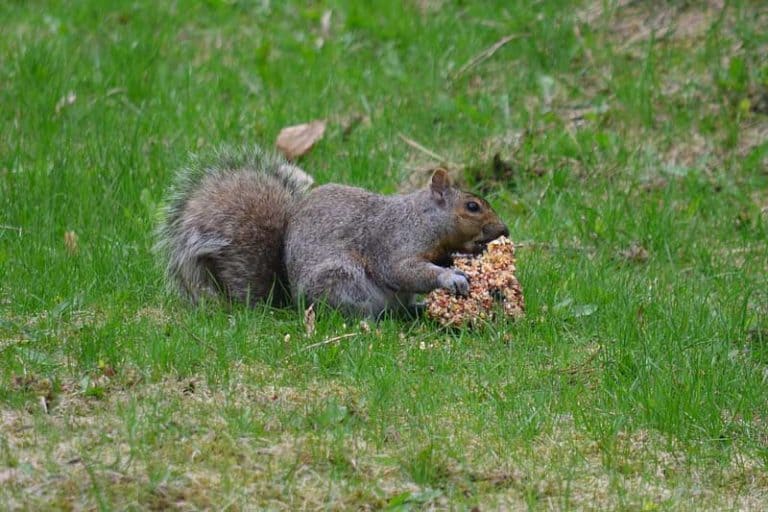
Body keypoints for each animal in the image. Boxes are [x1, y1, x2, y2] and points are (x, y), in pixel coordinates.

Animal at [156, 146, 509, 318]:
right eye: (472, 206)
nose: (504, 229)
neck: (423, 219)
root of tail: (294, 301)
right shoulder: (393, 243)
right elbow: (402, 271)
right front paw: (450, 278)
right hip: (342, 282)